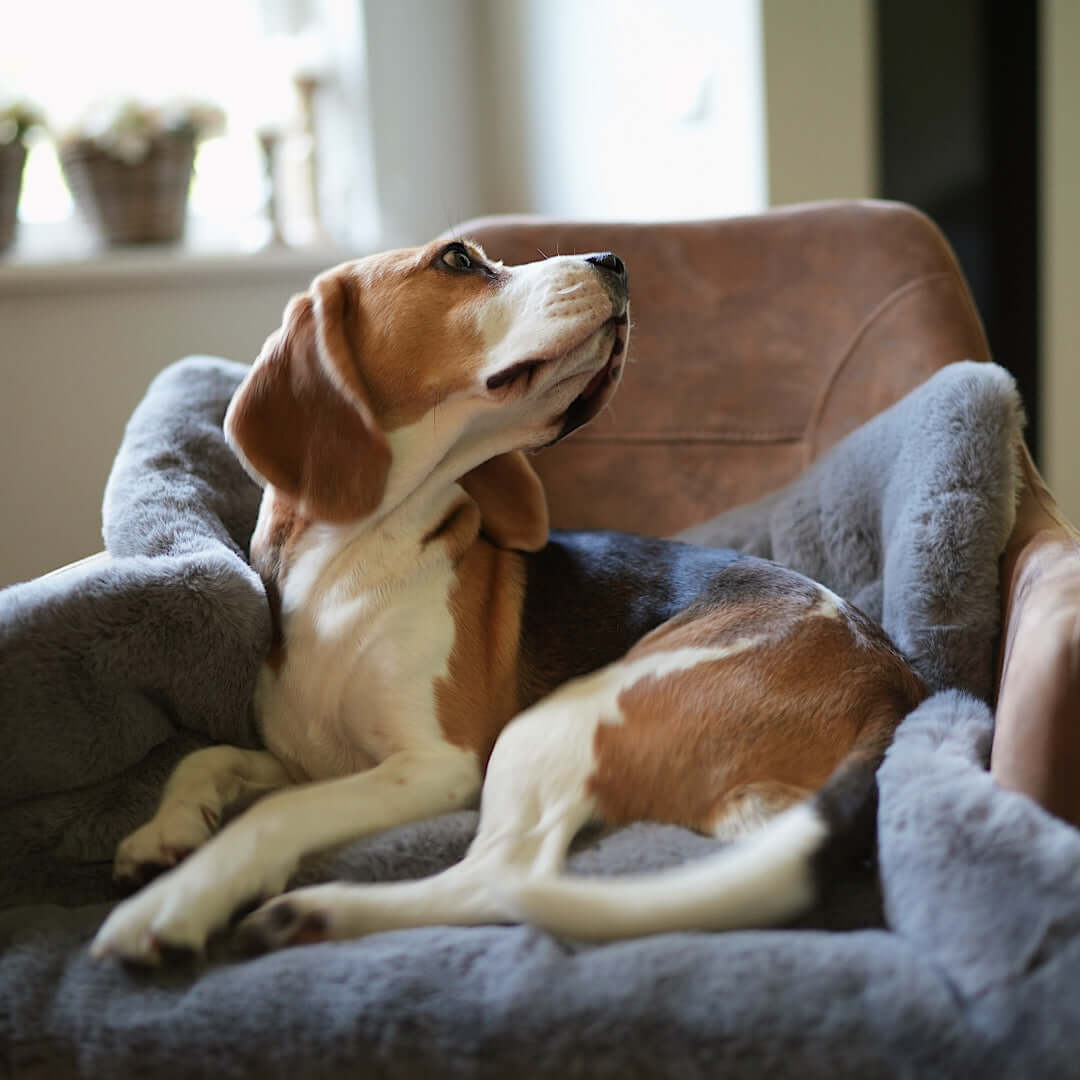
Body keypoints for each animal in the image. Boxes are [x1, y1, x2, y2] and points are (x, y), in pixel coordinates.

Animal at [92, 238, 924, 963]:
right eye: (459, 258)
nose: (615, 261)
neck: (352, 565)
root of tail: (894, 682)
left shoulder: (435, 766)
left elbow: (276, 812)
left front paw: (180, 895)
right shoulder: (310, 760)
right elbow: (206, 758)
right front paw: (163, 836)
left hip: (558, 722)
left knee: (500, 877)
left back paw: (317, 911)